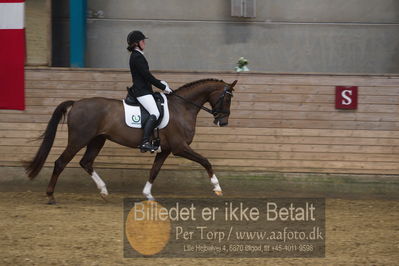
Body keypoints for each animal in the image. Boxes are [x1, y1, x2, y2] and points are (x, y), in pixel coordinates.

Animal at [25, 79, 238, 204]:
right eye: (227, 99)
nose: (223, 122)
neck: (182, 108)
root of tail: (76, 103)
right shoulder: (179, 148)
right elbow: (205, 161)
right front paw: (217, 187)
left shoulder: (165, 150)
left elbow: (154, 171)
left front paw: (148, 195)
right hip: (79, 139)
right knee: (60, 162)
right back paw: (51, 196)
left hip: (97, 140)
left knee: (86, 162)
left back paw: (103, 191)